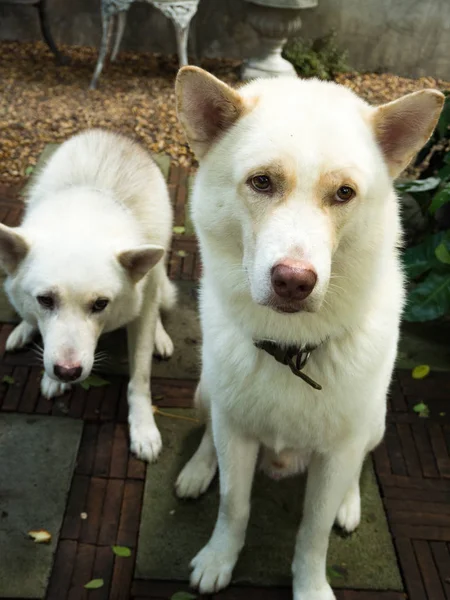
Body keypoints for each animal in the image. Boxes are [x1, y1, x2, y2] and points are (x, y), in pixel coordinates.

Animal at [0, 129, 175, 462]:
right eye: (45, 300)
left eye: (100, 304)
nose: (67, 373)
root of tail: (111, 135)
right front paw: (49, 377)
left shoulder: (142, 306)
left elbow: (140, 376)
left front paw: (143, 428)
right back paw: (23, 329)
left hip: (158, 269)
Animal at [175, 67, 442, 600]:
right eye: (261, 182)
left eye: (344, 193)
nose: (294, 281)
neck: (291, 347)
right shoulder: (235, 432)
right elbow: (233, 504)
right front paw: (219, 558)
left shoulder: (339, 451)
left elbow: (314, 531)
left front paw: (311, 585)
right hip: (205, 391)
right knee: (209, 430)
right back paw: (198, 469)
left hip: (375, 420)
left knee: (358, 464)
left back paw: (350, 503)